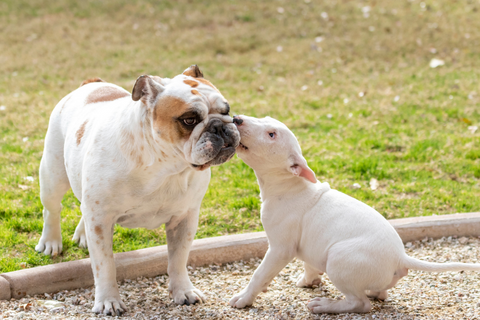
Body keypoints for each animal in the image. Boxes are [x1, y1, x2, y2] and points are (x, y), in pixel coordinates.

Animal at [34, 65, 240, 316]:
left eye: (226, 110)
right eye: (189, 120)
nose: (220, 126)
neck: (166, 167)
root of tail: (91, 84)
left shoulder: (185, 219)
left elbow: (178, 259)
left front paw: (183, 291)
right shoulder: (101, 221)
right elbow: (105, 265)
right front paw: (108, 301)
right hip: (52, 175)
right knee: (52, 210)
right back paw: (50, 242)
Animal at [229, 116, 480, 314]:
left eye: (271, 134)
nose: (237, 118)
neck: (289, 184)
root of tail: (401, 257)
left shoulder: (280, 249)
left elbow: (260, 274)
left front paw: (244, 298)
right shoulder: (307, 244)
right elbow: (309, 263)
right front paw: (309, 280)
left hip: (340, 259)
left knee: (359, 303)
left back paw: (325, 306)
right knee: (379, 294)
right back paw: (375, 293)